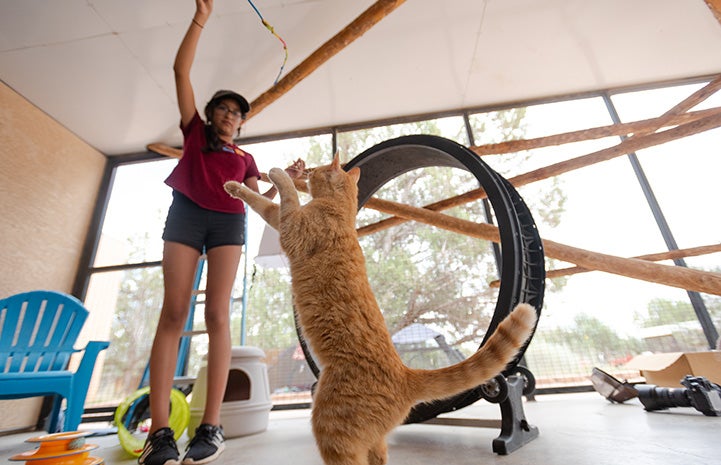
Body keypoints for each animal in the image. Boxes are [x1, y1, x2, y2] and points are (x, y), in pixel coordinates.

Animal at [222, 153, 536, 464]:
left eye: (316, 170)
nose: (306, 171)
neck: (341, 213)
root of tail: (406, 374)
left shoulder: (291, 225)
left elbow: (285, 197)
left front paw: (279, 174)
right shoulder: (283, 219)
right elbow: (263, 203)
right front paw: (236, 188)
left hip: (331, 428)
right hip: (374, 442)